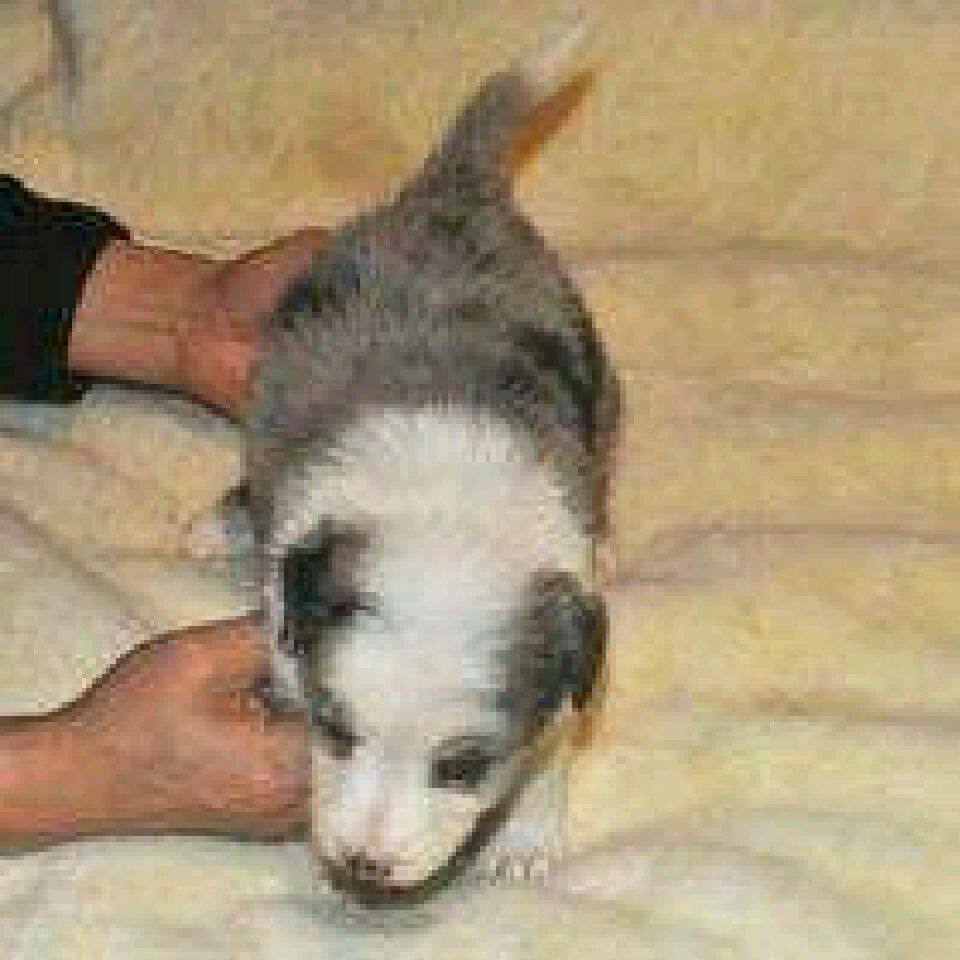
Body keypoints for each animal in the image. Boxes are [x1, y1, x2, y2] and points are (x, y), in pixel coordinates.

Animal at [197, 21, 621, 906]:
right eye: (334, 730)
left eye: (461, 767)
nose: (364, 864)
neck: (449, 511)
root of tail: (450, 194)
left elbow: (555, 743)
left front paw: (523, 841)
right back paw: (219, 525)